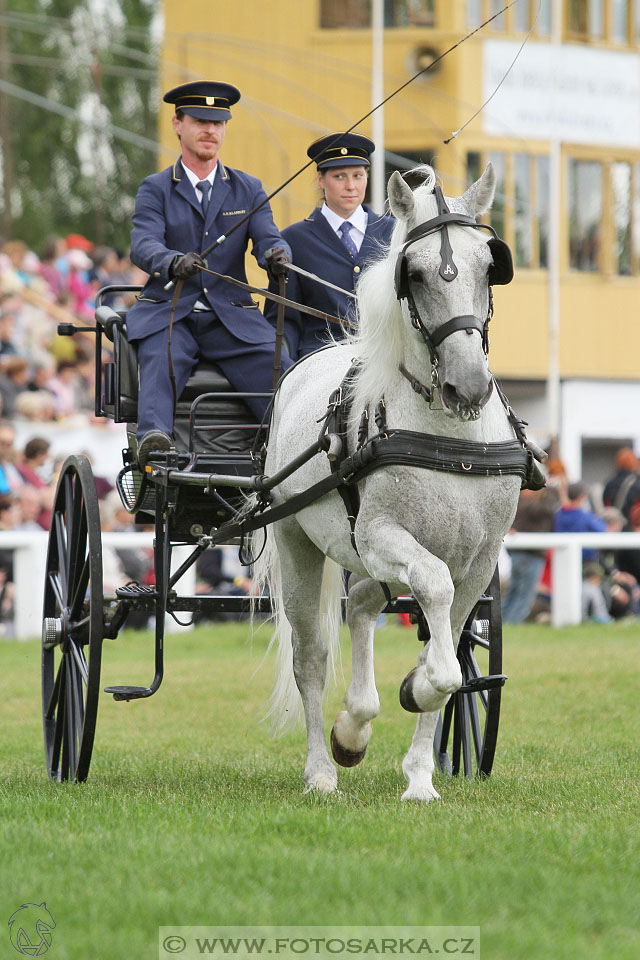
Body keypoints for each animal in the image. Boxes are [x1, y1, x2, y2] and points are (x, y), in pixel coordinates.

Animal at [255, 163, 524, 804]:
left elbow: (451, 654)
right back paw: (323, 769)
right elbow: (440, 642)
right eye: (415, 273)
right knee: (311, 656)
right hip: (299, 541)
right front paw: (410, 692)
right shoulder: (383, 535)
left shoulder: (479, 559)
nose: (468, 387)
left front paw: (421, 776)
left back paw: (354, 726)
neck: (450, 436)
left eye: (489, 266)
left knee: (360, 604)